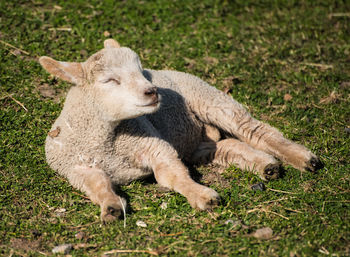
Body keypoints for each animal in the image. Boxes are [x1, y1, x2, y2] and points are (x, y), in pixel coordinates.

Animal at [39, 39, 322, 221]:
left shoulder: (155, 146)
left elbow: (173, 177)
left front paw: (202, 196)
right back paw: (267, 166)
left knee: (254, 130)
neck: (107, 141)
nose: (152, 91)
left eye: (140, 72)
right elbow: (98, 185)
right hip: (193, 141)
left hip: (209, 98)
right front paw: (110, 208)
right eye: (110, 80)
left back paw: (304, 159)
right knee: (225, 146)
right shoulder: (76, 170)